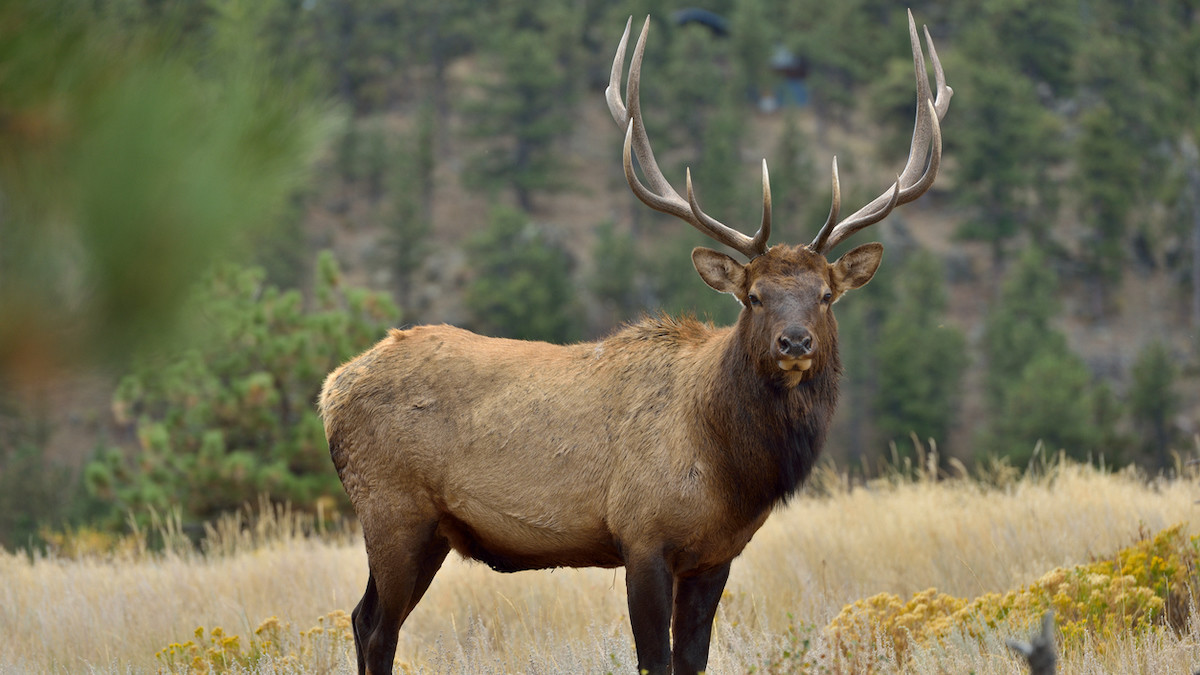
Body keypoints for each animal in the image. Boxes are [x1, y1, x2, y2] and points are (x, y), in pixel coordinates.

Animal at [321, 11, 955, 672]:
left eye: (826, 295)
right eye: (754, 296)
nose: (795, 343)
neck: (727, 465)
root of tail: (331, 388)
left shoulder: (715, 555)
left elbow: (692, 658)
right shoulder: (642, 536)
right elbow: (655, 658)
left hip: (431, 532)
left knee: (363, 618)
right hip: (392, 509)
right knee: (375, 627)